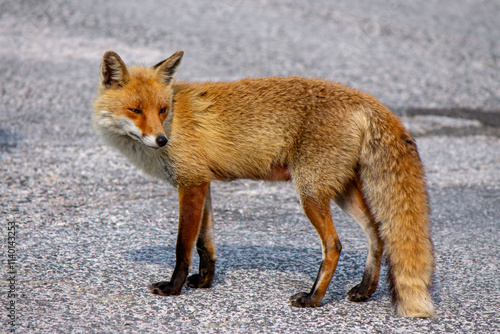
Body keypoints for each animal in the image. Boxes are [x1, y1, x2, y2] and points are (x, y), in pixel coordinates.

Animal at [93, 51, 434, 318]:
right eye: (136, 110)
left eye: (161, 110)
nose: (161, 140)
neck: (176, 119)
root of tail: (365, 99)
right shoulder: (203, 183)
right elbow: (206, 243)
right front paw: (204, 282)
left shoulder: (189, 184)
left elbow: (183, 247)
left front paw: (173, 288)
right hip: (340, 191)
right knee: (377, 233)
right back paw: (365, 290)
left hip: (310, 193)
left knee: (335, 245)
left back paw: (313, 298)